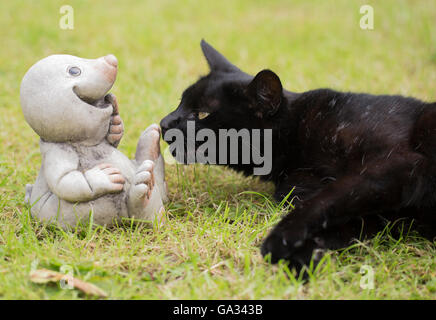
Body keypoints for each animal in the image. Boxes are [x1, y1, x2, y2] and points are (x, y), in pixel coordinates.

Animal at [160, 40, 436, 270]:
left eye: (201, 114)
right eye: (180, 103)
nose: (164, 123)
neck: (297, 135)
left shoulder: (398, 163)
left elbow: (329, 197)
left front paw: (281, 239)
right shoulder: (380, 211)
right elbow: (340, 218)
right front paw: (305, 257)